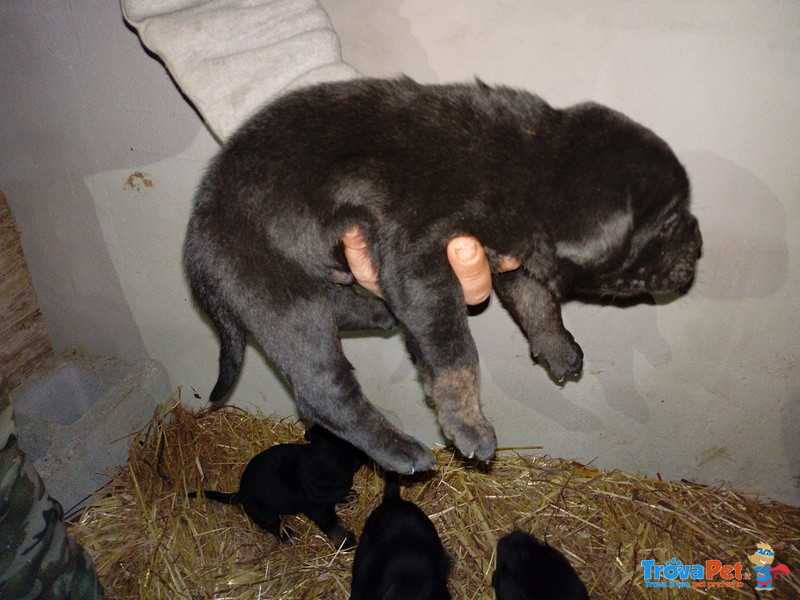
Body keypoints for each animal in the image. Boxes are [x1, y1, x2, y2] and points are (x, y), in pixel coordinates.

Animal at [184, 77, 704, 476]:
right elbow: (457, 353)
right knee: (323, 392)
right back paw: (401, 450)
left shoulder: (508, 257)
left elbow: (537, 302)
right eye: (667, 221)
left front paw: (557, 349)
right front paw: (468, 425)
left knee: (342, 307)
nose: (701, 247)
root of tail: (197, 254)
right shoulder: (422, 259)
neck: (533, 169)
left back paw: (381, 313)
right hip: (286, 299)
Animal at [188, 424, 366, 548]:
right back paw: (287, 536)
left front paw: (349, 496)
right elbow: (334, 526)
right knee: (274, 526)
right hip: (264, 513)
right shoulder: (319, 511)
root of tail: (241, 493)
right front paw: (346, 542)